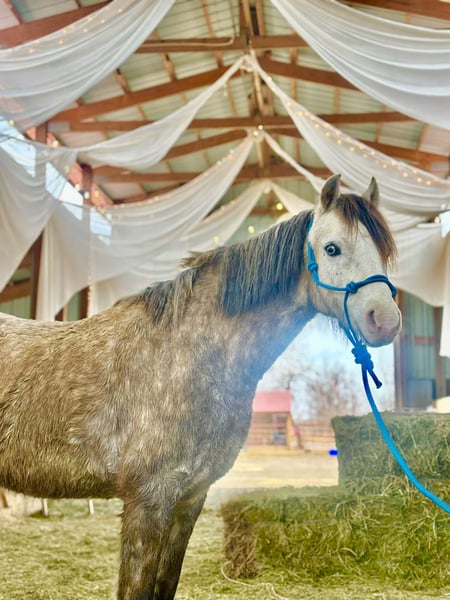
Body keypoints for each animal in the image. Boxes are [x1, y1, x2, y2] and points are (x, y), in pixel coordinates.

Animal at [0, 174, 401, 599]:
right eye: (332, 248)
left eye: (384, 251)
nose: (385, 321)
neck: (188, 355)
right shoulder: (147, 501)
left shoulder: (190, 499)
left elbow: (165, 584)